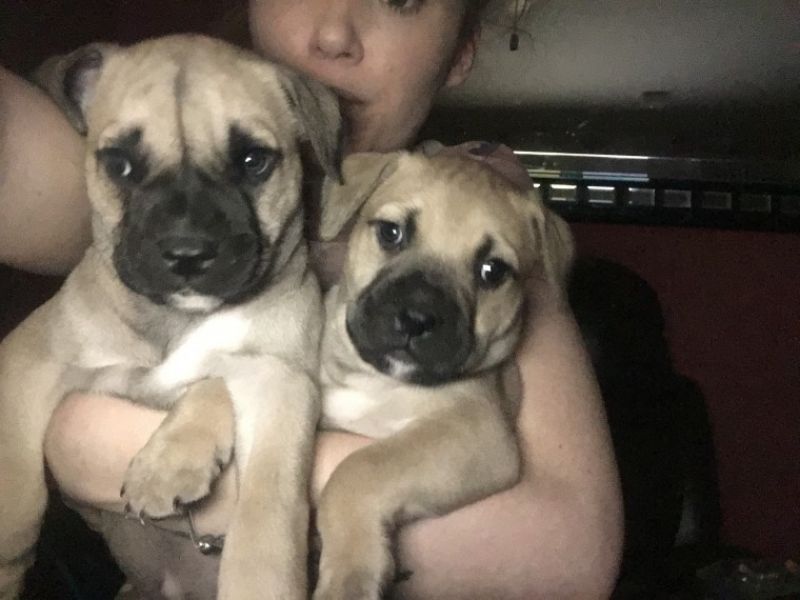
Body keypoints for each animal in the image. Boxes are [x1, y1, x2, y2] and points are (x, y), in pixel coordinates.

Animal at [307, 151, 575, 599]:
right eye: (391, 233)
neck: (377, 379)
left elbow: (359, 468)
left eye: (492, 271)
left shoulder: (475, 432)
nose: (416, 319)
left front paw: (350, 575)